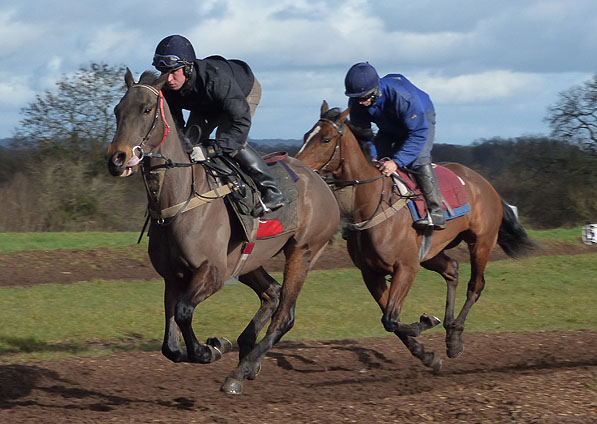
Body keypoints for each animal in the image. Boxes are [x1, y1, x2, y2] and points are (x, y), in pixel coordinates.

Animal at [107, 70, 340, 394]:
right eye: (118, 110)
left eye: (146, 110)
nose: (117, 159)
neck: (179, 201)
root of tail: (317, 177)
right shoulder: (173, 277)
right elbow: (170, 346)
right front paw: (215, 345)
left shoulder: (213, 272)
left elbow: (184, 312)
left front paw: (211, 349)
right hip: (250, 259)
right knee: (272, 294)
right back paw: (248, 355)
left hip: (302, 252)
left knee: (284, 315)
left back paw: (240, 371)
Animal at [298, 102, 536, 372]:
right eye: (306, 136)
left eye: (326, 139)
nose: (299, 166)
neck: (372, 205)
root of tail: (484, 183)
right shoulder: (371, 273)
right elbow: (390, 319)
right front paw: (426, 354)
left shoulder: (406, 267)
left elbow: (391, 319)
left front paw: (427, 322)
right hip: (431, 252)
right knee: (452, 270)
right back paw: (449, 328)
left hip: (481, 242)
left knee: (475, 286)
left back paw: (455, 337)